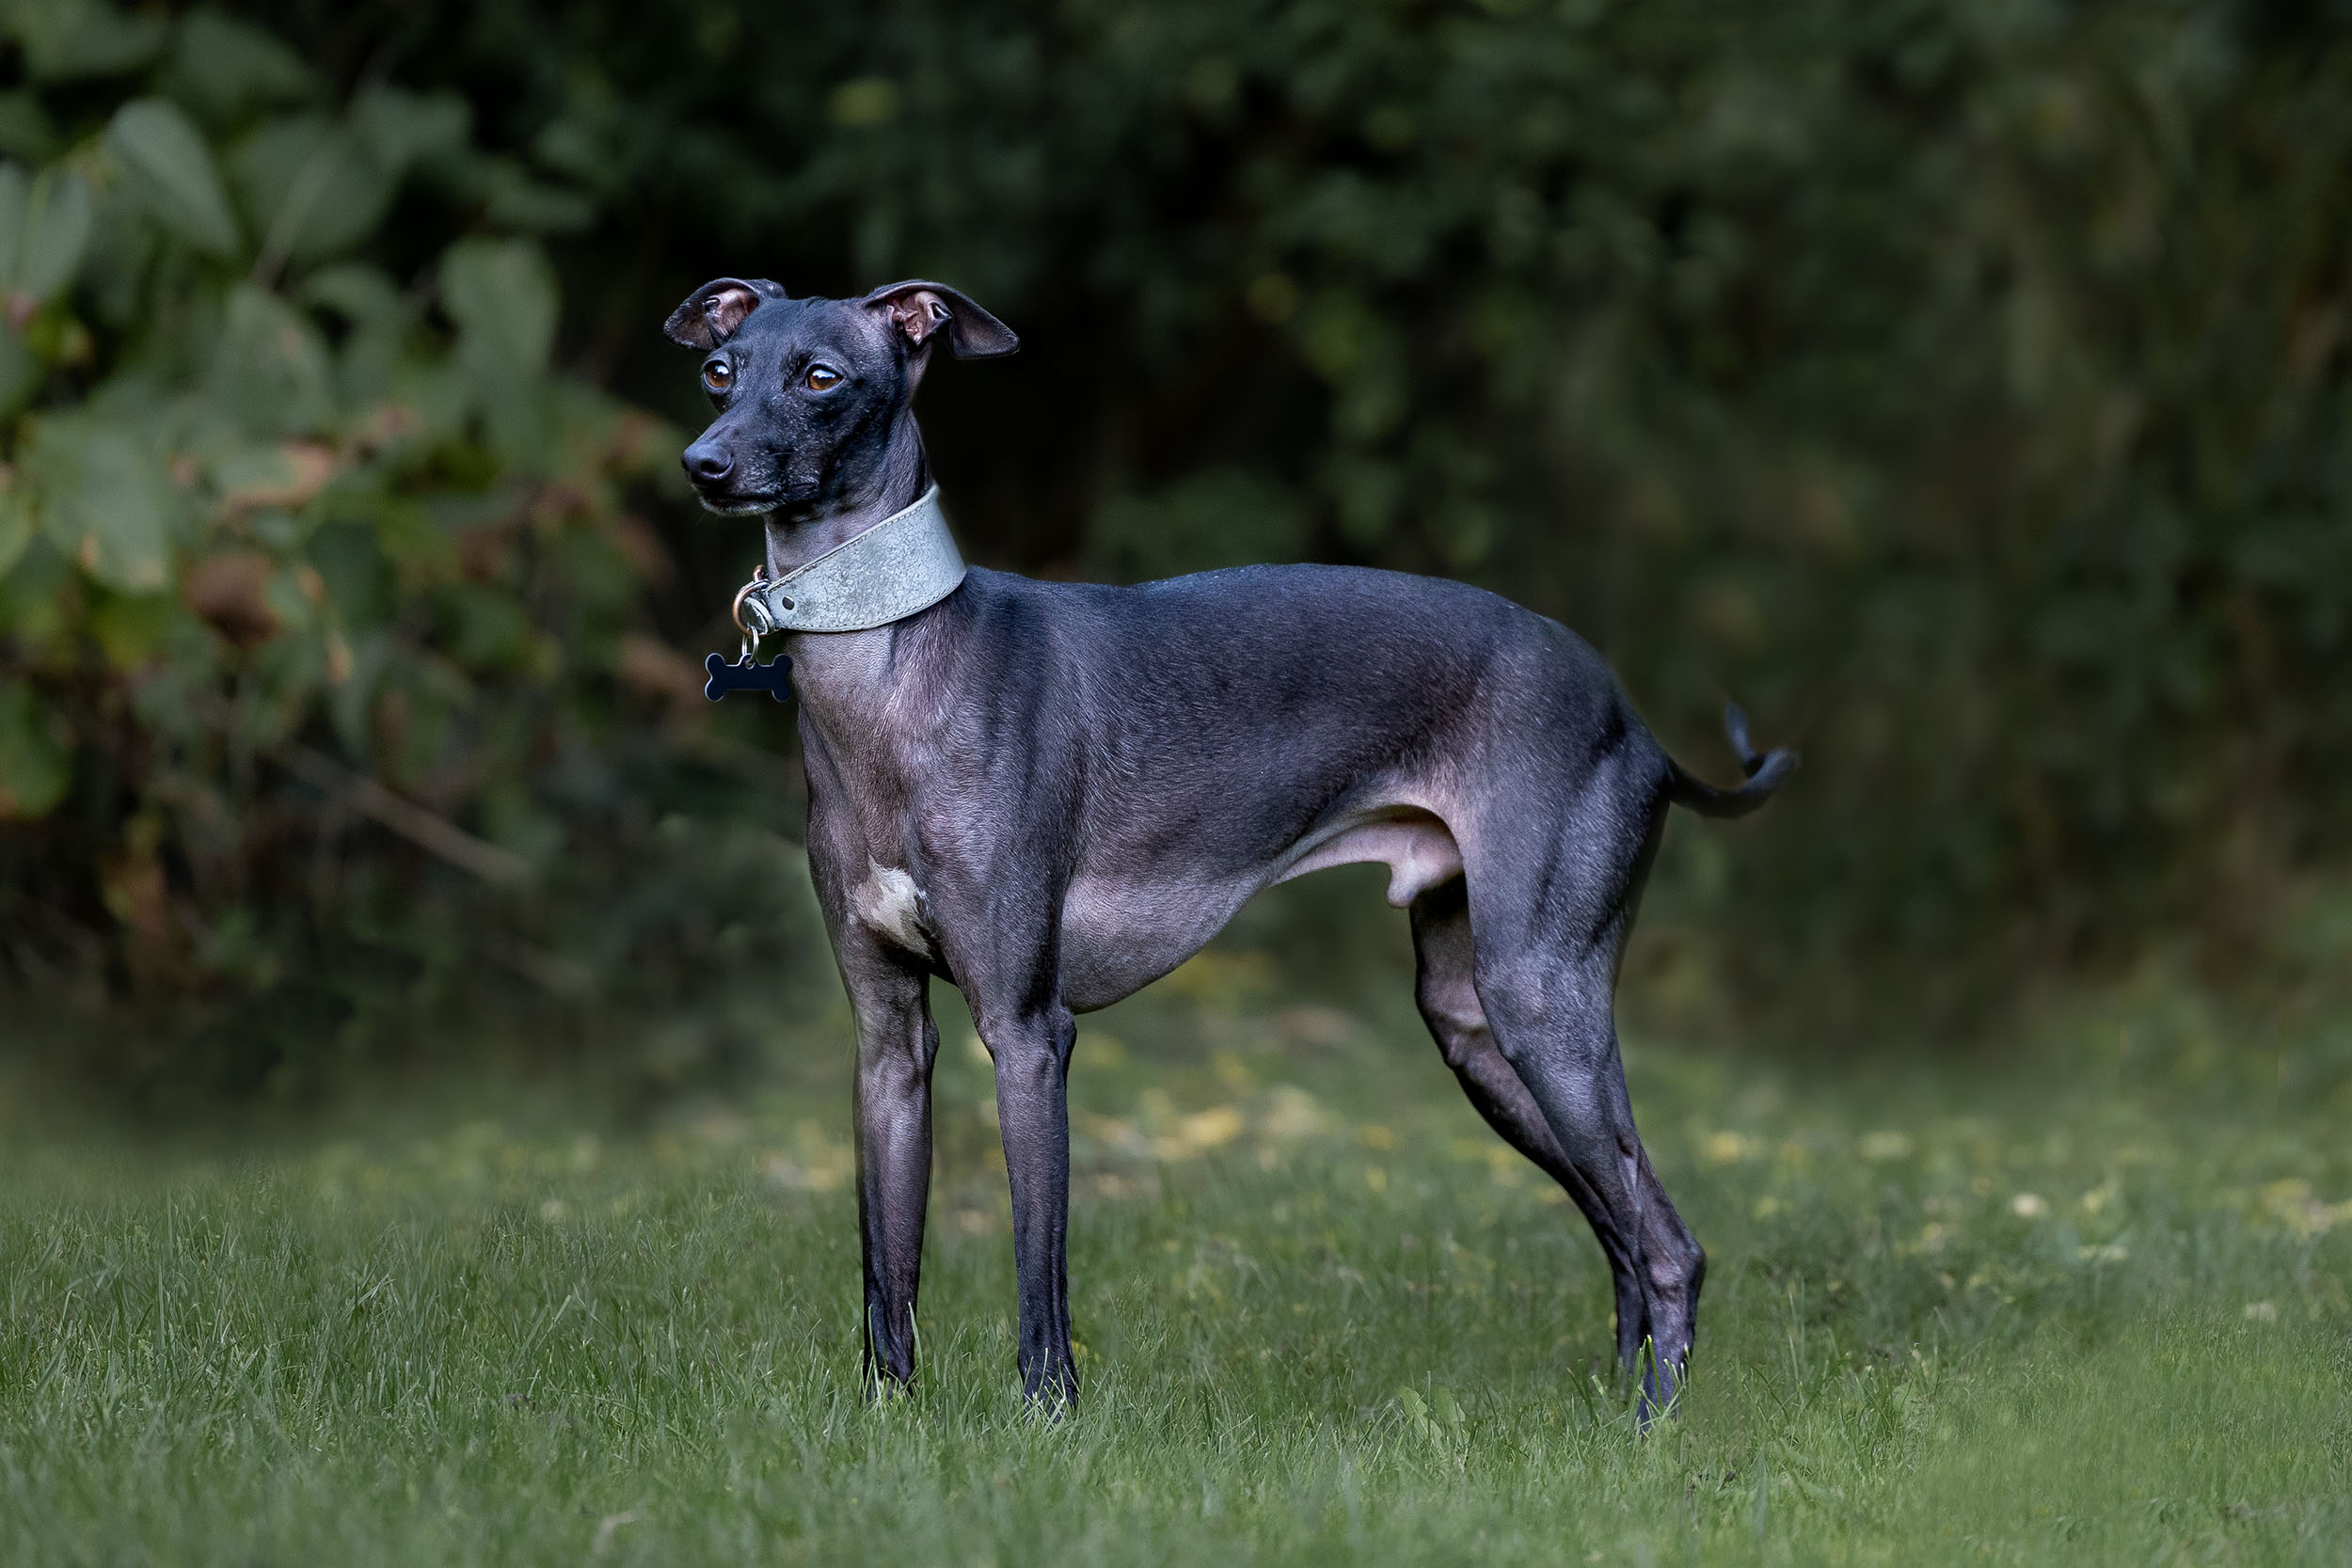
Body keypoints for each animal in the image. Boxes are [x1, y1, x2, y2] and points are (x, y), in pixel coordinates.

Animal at [668, 276, 1797, 1419]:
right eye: (719, 370)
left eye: (820, 376)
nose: (703, 464)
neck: (894, 668)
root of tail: (1635, 719)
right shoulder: (888, 1042)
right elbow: (884, 1261)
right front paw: (886, 1419)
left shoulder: (1029, 1030)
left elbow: (1039, 1264)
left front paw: (1048, 1416)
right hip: (1477, 1027)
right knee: (1619, 1227)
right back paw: (1619, 1402)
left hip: (1539, 997)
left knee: (1670, 1242)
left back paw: (1652, 1426)